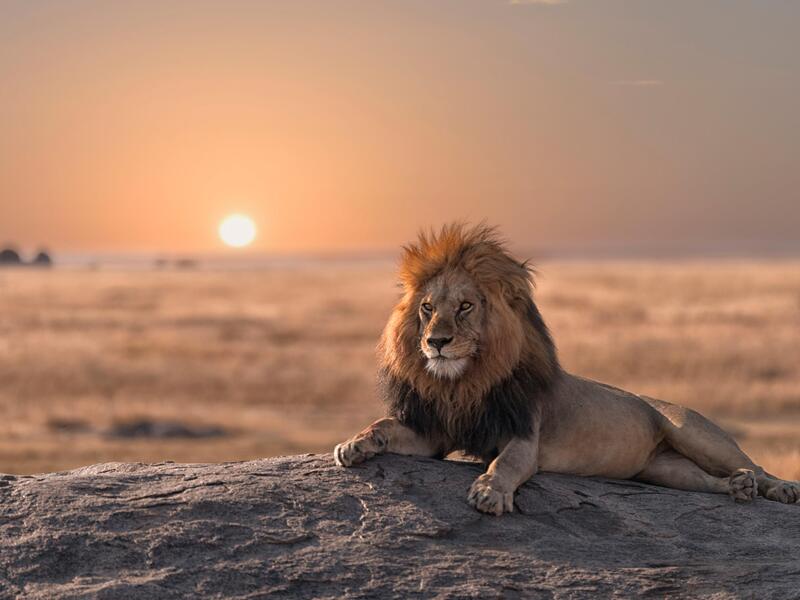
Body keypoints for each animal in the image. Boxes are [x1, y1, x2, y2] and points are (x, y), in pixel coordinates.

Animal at [332, 223, 800, 512]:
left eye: (465, 306)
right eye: (428, 308)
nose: (436, 342)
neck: (465, 382)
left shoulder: (524, 435)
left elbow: (506, 465)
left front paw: (489, 492)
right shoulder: (436, 432)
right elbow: (384, 426)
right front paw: (354, 444)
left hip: (694, 433)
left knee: (754, 465)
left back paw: (778, 487)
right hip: (664, 469)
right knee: (707, 482)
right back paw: (737, 488)